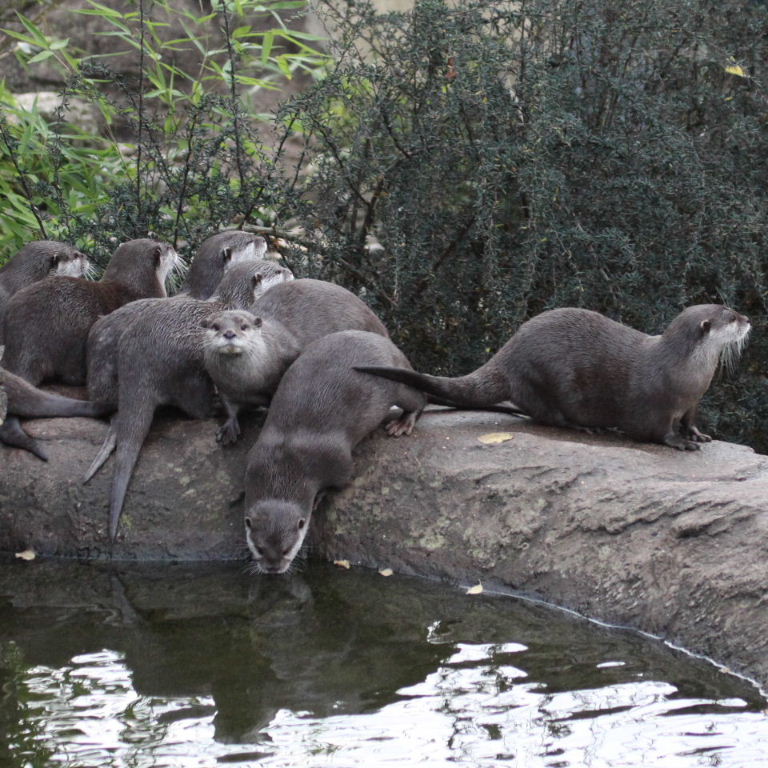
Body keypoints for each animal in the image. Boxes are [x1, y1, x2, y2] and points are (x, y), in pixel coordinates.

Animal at [201, 310, 301, 444]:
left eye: (243, 326)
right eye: (216, 326)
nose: (229, 333)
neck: (246, 384)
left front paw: (265, 417)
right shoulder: (223, 387)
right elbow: (229, 407)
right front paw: (228, 428)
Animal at [244, 330, 426, 575]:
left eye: (286, 549)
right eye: (260, 548)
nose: (273, 568)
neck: (283, 463)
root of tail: (389, 345)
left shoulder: (338, 462)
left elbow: (341, 481)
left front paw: (320, 496)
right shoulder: (255, 456)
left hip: (397, 384)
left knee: (419, 398)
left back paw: (404, 422)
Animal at [356, 305, 751, 451]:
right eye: (730, 317)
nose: (749, 319)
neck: (686, 373)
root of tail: (506, 356)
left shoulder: (692, 402)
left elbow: (691, 420)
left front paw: (698, 434)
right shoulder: (658, 406)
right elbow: (658, 432)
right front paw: (680, 443)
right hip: (547, 380)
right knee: (551, 416)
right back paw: (588, 427)